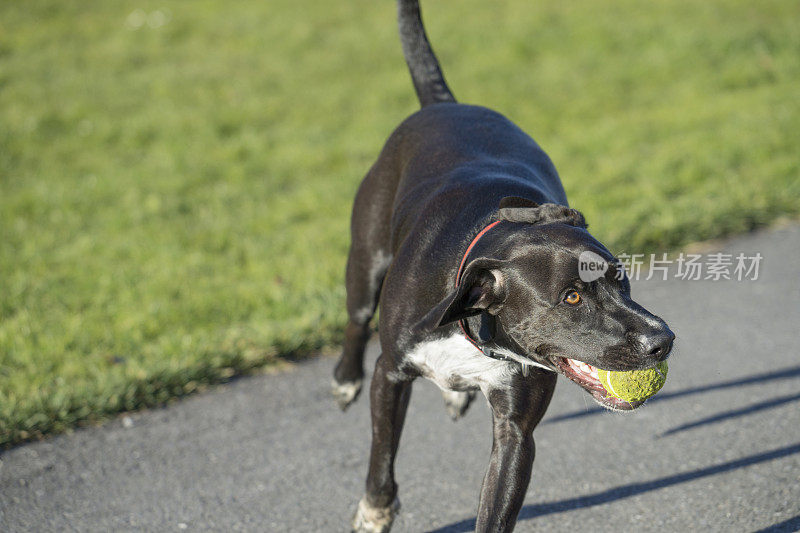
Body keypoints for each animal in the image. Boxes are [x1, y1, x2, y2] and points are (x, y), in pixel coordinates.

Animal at [332, 2, 676, 528]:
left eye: (623, 280)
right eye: (571, 297)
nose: (663, 341)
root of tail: (444, 104)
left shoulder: (517, 431)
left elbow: (496, 507)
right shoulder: (389, 374)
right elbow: (382, 453)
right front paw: (375, 510)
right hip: (366, 256)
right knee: (355, 319)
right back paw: (345, 379)